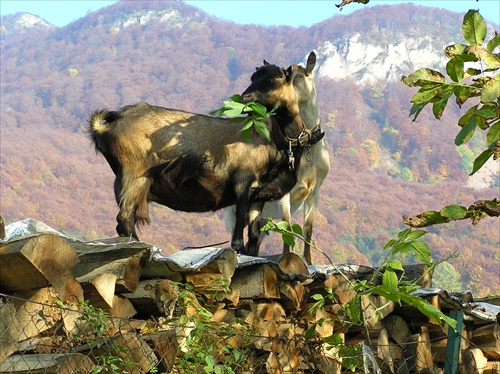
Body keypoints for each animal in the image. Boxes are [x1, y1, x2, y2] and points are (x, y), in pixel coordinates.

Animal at [86, 64, 312, 258]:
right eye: (253, 77)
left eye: (277, 76)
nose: (246, 96)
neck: (276, 139)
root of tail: (105, 126)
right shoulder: (243, 180)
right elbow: (240, 221)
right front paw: (238, 250)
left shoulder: (259, 194)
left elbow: (255, 233)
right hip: (135, 174)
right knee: (124, 218)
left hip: (122, 178)